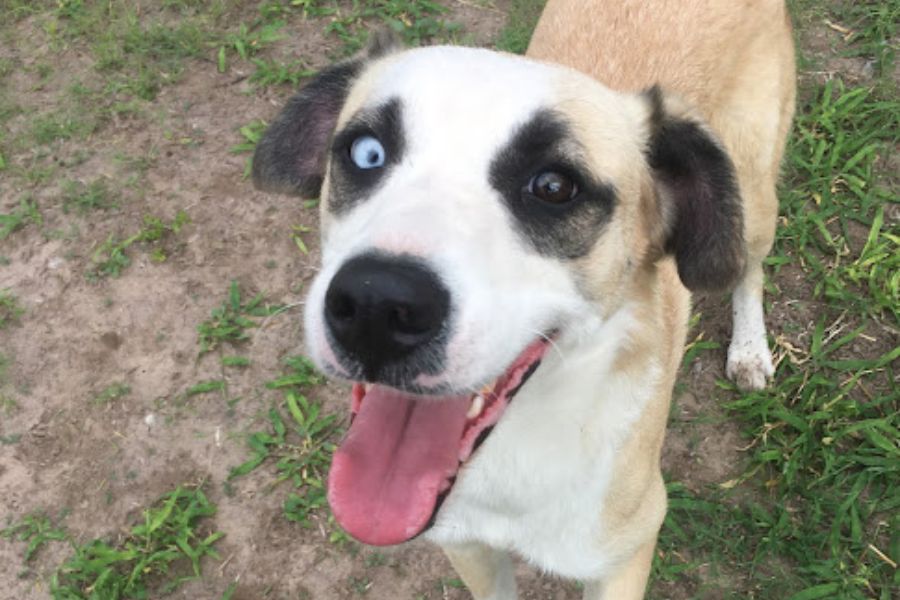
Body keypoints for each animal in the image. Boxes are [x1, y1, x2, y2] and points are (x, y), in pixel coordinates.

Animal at [250, 0, 792, 596]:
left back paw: (750, 350)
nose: (376, 306)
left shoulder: (623, 556)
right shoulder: (467, 545)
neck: (520, 442)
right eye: (366, 152)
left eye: (554, 187)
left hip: (752, 206)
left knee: (749, 270)